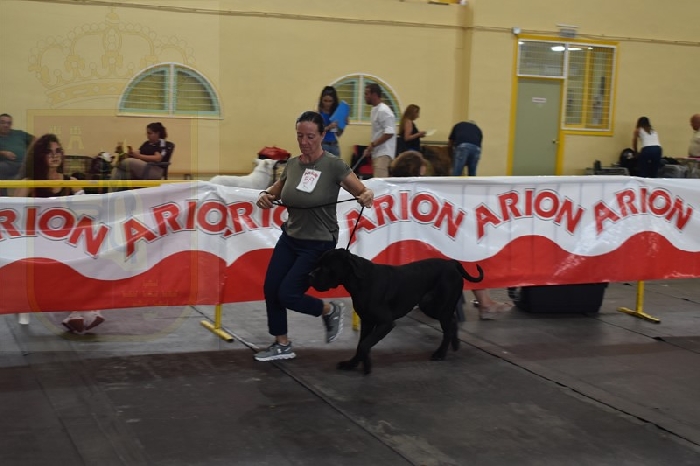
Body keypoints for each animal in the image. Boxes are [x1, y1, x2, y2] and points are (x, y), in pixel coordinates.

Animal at [309, 248, 484, 374]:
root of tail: (452, 263)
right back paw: (455, 345)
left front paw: (366, 367)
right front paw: (352, 363)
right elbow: (362, 343)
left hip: (440, 306)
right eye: (317, 263)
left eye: (326, 267)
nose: (310, 275)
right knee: (452, 322)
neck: (360, 280)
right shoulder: (367, 321)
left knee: (448, 328)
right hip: (432, 307)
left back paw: (440, 354)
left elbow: (364, 345)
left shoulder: (385, 323)